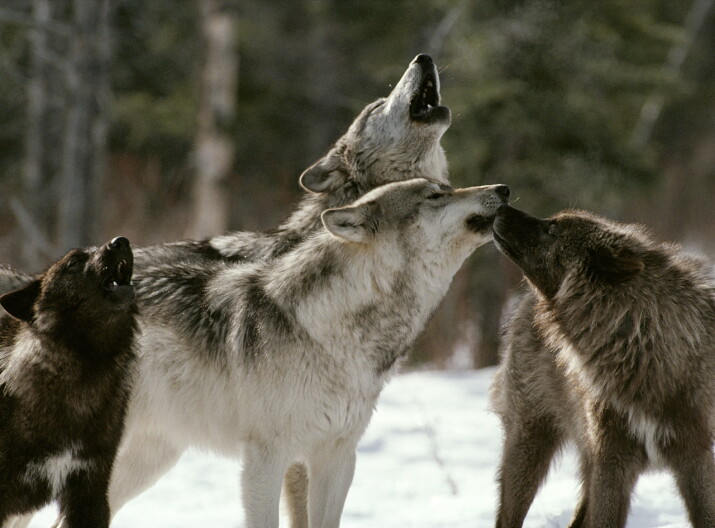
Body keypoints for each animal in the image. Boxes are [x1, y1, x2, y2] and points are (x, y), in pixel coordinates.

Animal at [93, 179, 509, 528]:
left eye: (446, 188)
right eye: (436, 195)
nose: (503, 189)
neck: (330, 332)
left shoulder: (337, 457)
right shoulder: (266, 460)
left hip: (153, 458)